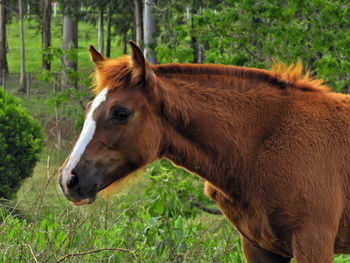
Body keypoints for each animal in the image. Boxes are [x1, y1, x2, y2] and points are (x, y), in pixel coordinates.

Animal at [58, 40, 350, 262]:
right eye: (88, 108)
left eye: (121, 113)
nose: (68, 178)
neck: (264, 143)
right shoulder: (259, 247)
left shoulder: (312, 242)